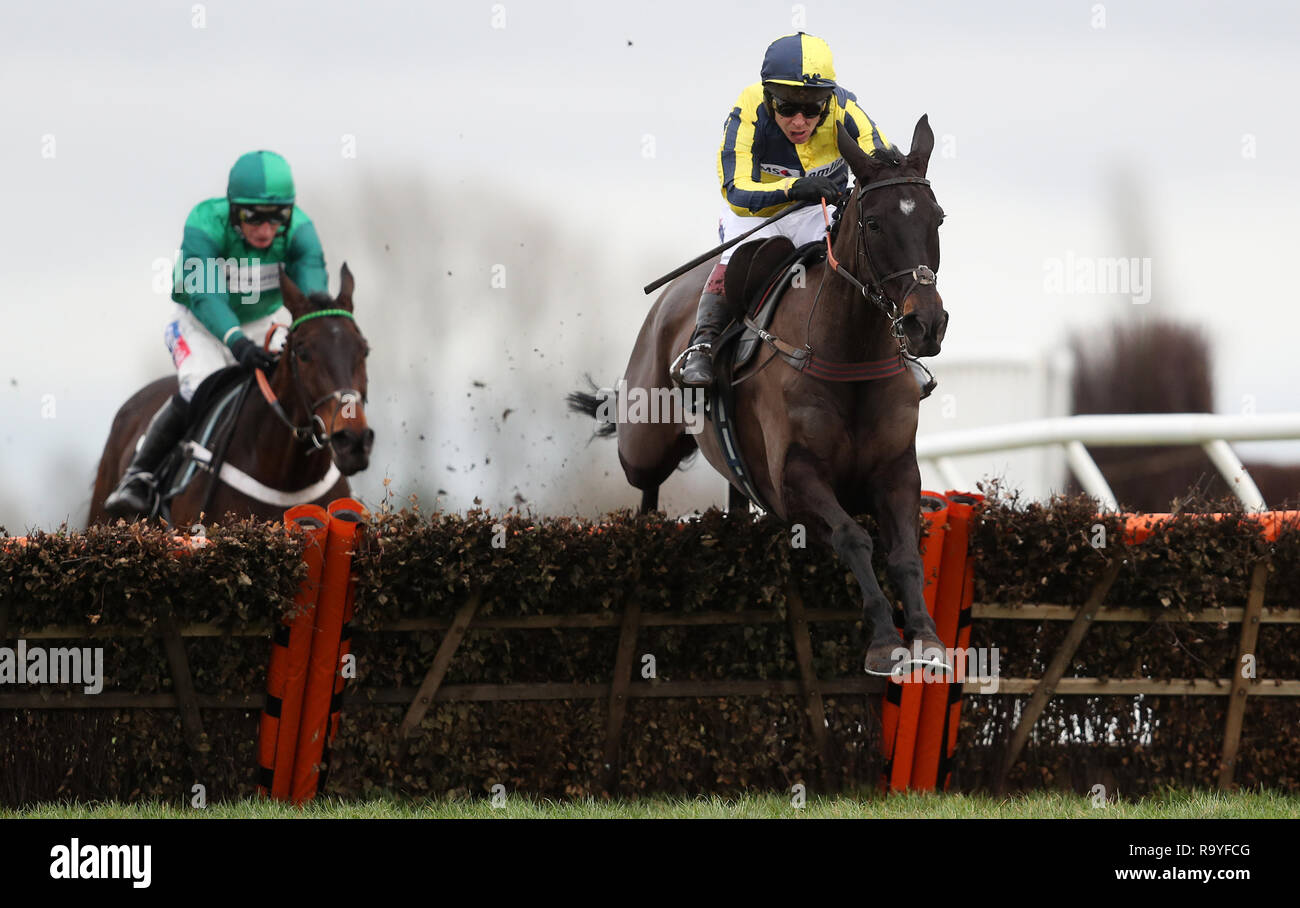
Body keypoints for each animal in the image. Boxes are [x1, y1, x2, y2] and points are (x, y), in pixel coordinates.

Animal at [574, 116, 951, 671]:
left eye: (937, 218)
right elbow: (853, 537)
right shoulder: (793, 480)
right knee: (646, 488)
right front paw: (885, 640)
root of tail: (670, 297)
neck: (850, 360)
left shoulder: (898, 469)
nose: (926, 323)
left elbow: (904, 551)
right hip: (644, 443)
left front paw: (925, 636)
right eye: (875, 223)